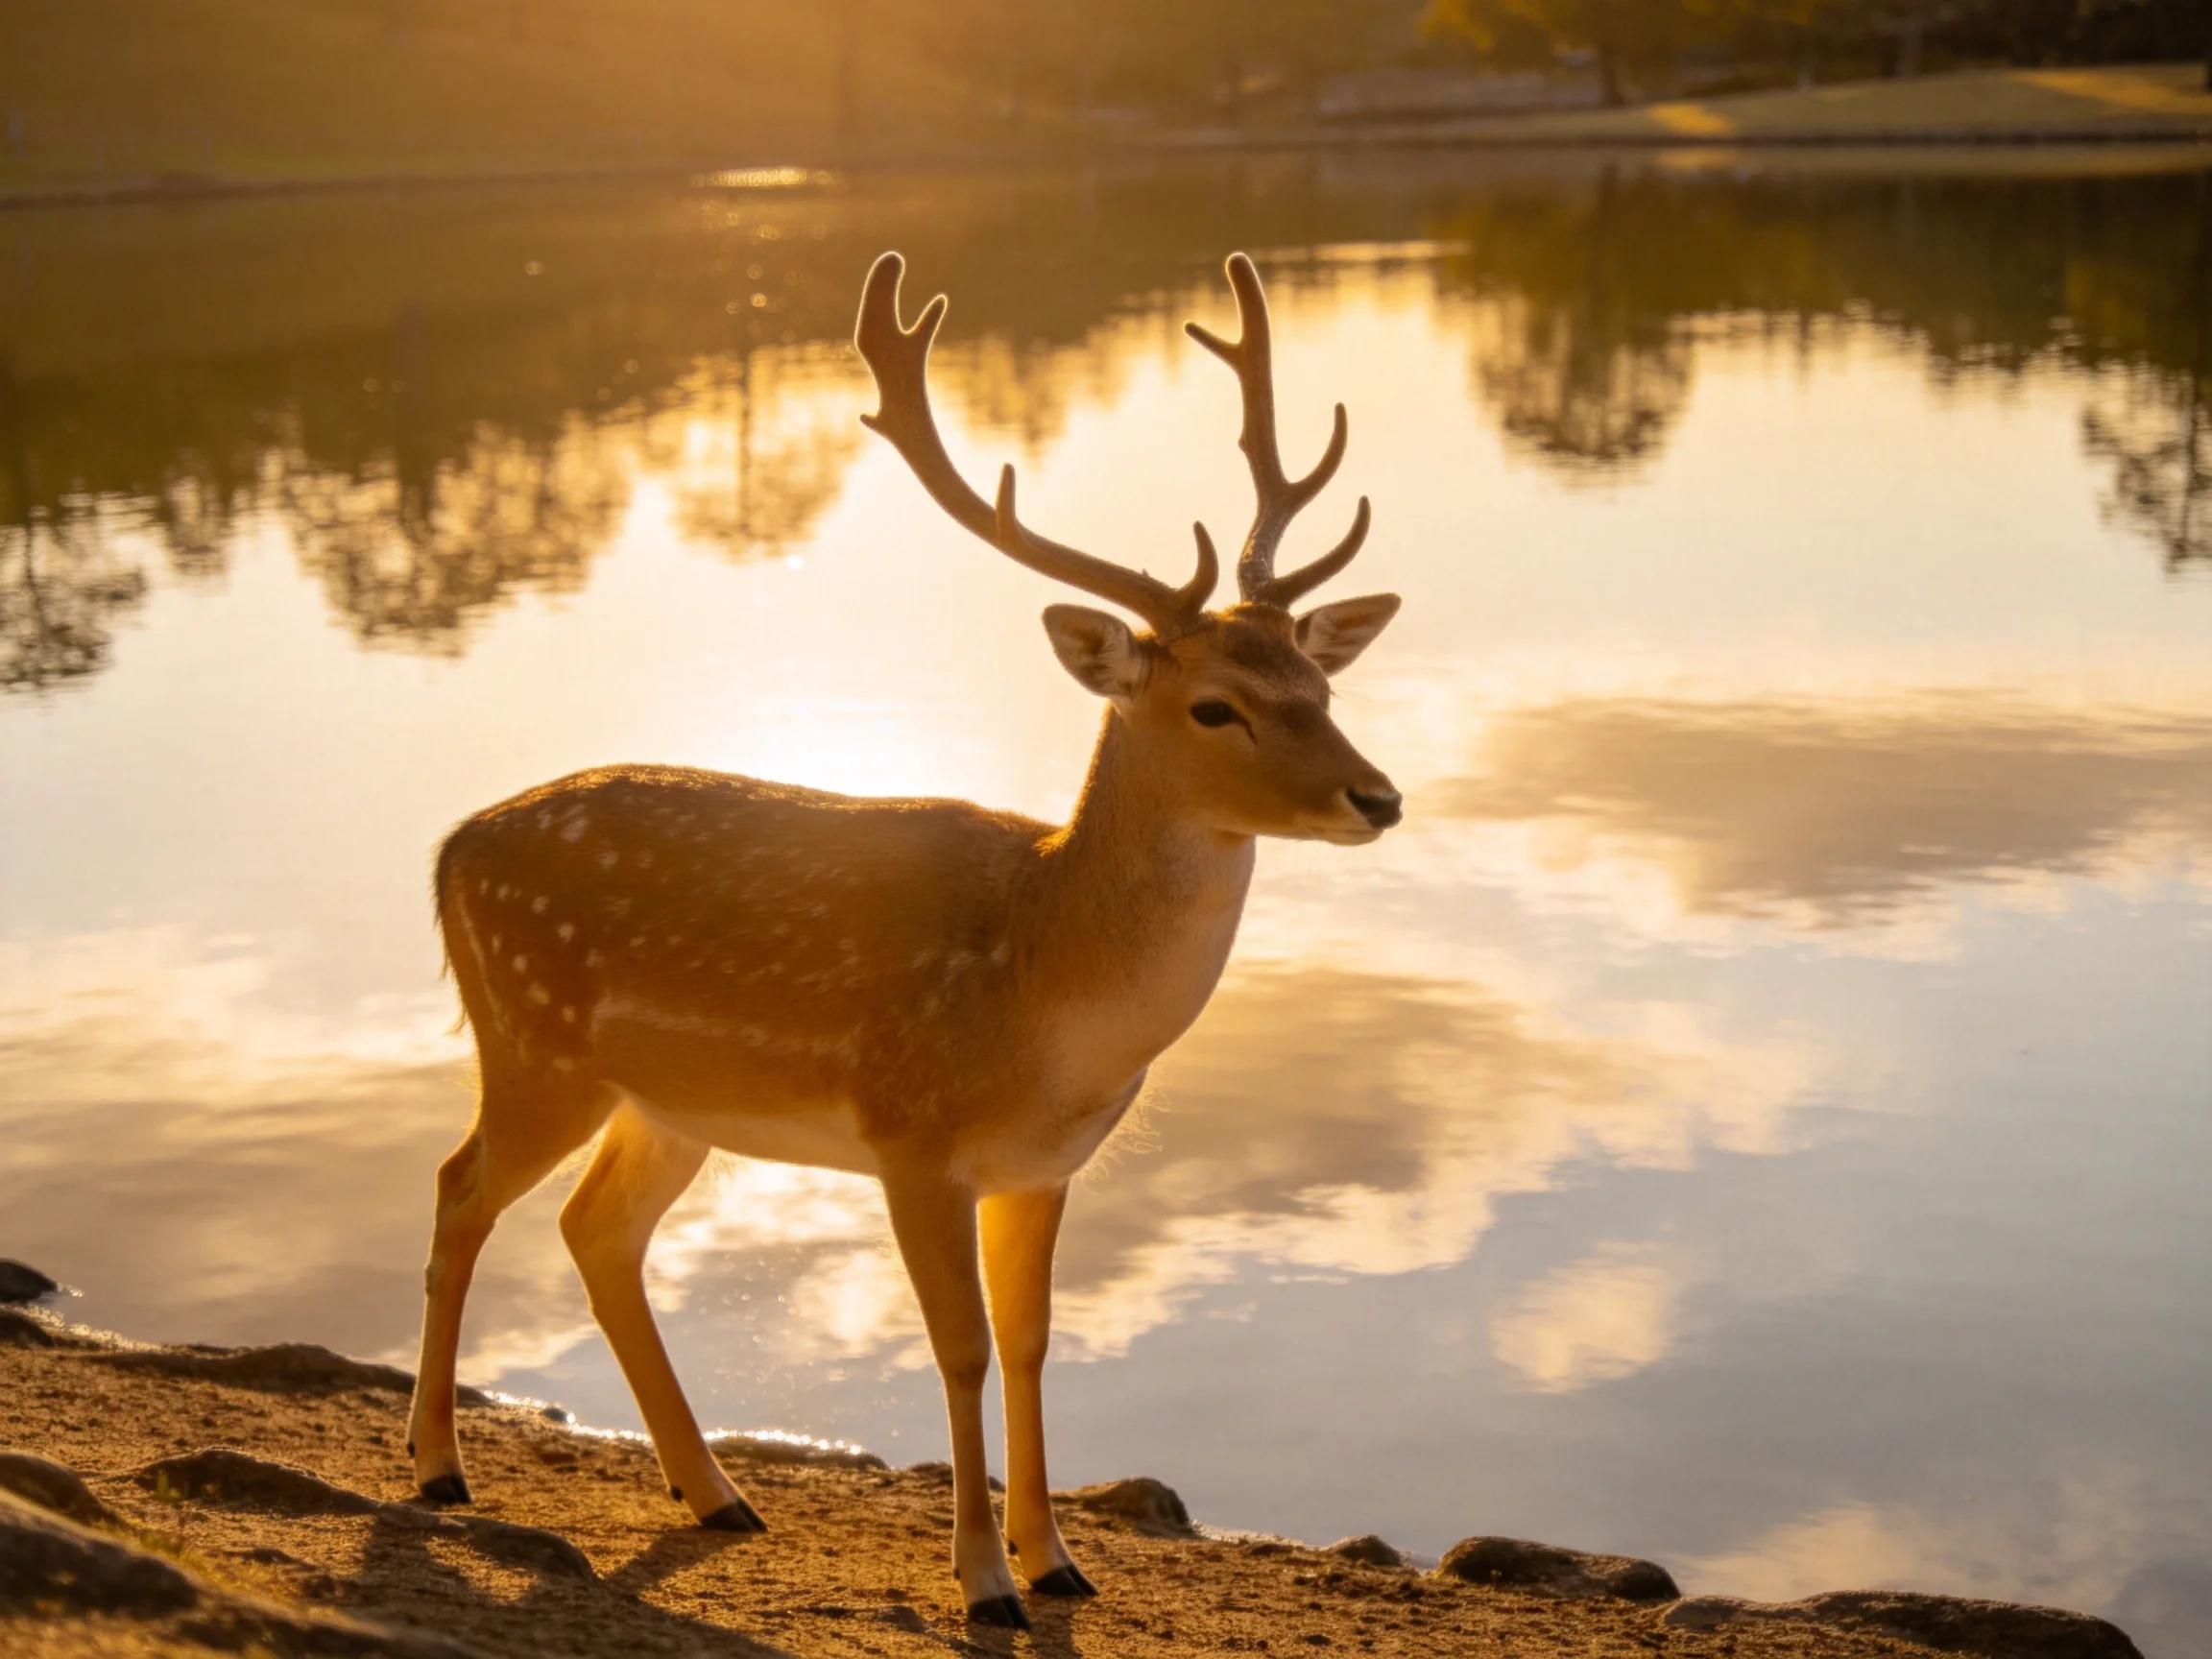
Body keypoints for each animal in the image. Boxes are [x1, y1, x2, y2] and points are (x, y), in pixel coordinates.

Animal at [405, 250, 1403, 1628]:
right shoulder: (912, 1137)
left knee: (595, 1228)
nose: (1379, 797)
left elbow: (1032, 1340)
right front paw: (983, 1582)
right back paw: (438, 1469)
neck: (1045, 990)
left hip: (666, 1100)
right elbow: (960, 1345)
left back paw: (716, 1493)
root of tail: (449, 851)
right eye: (1217, 706)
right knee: (460, 1188)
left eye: (1321, 686)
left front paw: (1059, 1562)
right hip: (534, 1042)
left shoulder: (1044, 1164)